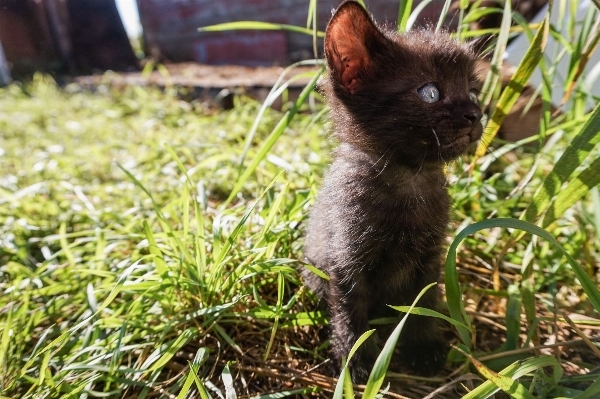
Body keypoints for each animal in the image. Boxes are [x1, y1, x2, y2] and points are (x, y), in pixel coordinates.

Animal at [300, 0, 482, 382]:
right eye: (431, 92)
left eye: (474, 92)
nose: (476, 114)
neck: (408, 181)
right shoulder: (346, 258)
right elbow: (350, 313)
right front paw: (355, 359)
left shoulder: (430, 256)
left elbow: (423, 302)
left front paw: (424, 346)